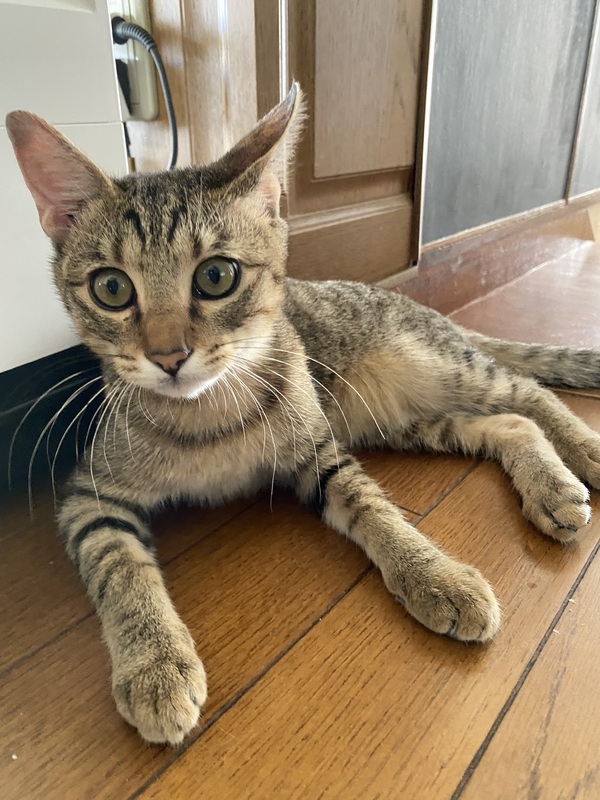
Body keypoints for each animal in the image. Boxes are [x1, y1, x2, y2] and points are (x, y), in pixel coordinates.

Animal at [7, 82, 600, 745]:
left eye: (216, 276)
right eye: (111, 289)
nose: (168, 356)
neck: (206, 418)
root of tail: (424, 308)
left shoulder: (318, 453)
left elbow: (375, 509)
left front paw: (433, 573)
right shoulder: (91, 496)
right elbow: (119, 567)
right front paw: (154, 661)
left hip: (432, 366)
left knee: (528, 391)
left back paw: (584, 455)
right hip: (400, 418)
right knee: (508, 423)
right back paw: (551, 488)